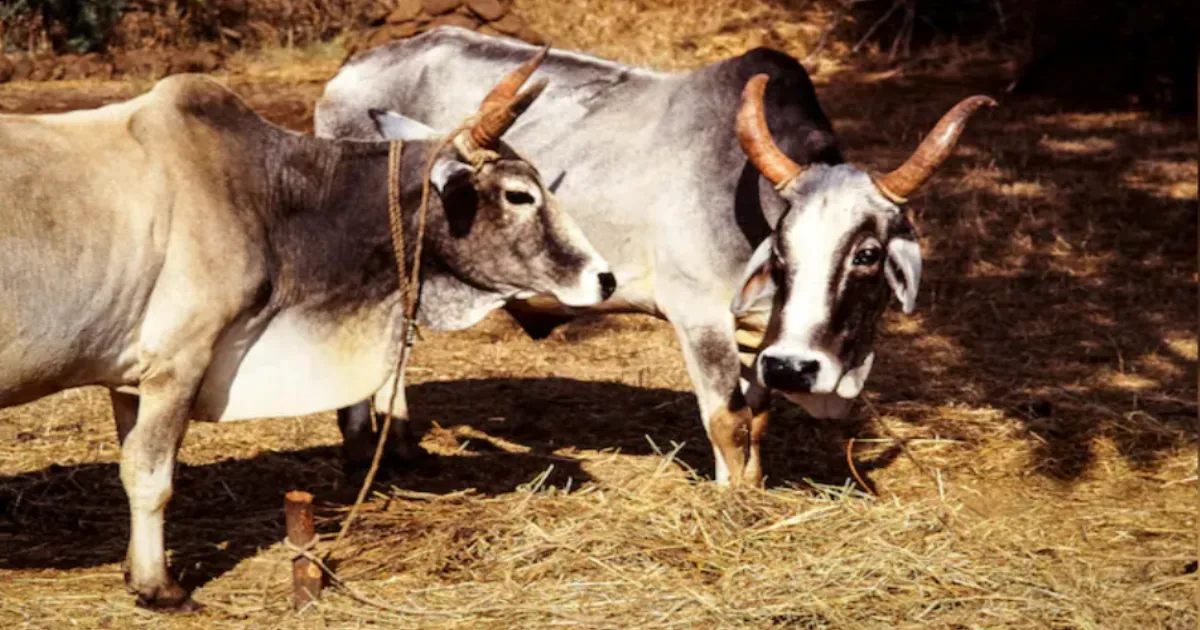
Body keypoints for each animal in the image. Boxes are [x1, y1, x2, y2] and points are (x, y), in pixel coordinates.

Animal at [0, 53, 614, 610]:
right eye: (518, 194)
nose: (603, 278)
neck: (270, 196)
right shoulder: (179, 364)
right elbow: (152, 476)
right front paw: (160, 588)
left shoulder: (130, 380)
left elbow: (133, 468)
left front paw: (135, 573)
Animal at [315, 27, 994, 488]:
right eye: (781, 248)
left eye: (868, 254)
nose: (799, 367)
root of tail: (350, 72)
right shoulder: (699, 316)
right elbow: (727, 420)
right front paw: (734, 505)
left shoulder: (759, 338)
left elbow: (758, 419)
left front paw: (754, 488)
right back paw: (363, 452)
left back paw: (401, 448)